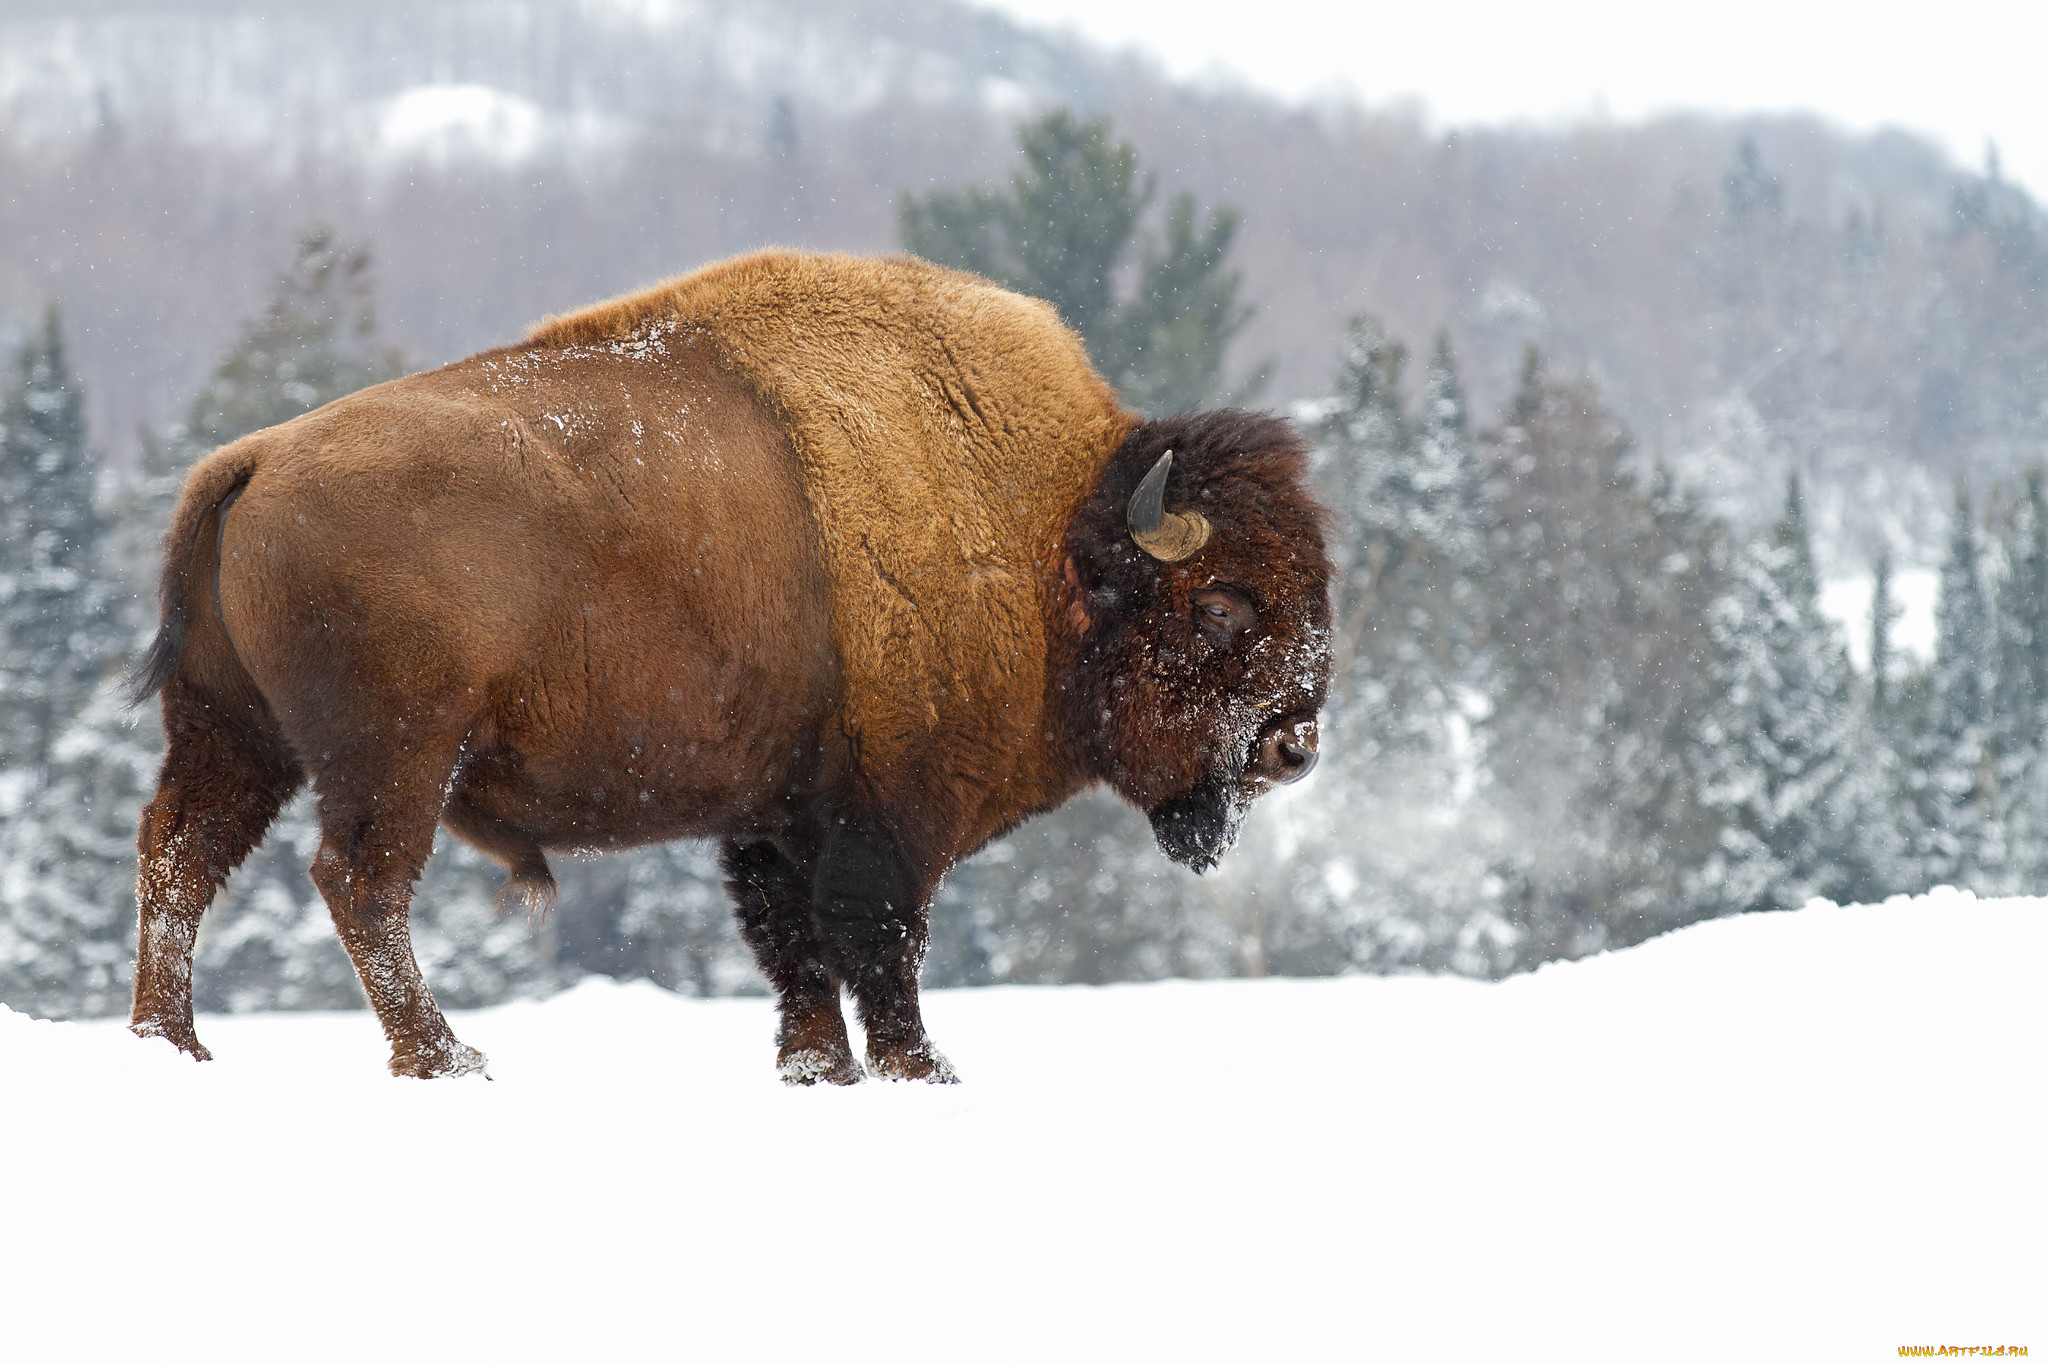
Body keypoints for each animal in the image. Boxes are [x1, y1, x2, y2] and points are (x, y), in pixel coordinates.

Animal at [123, 250, 1327, 1080]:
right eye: (1220, 604)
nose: (1295, 742)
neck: (1045, 533)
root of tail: (253, 459)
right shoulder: (887, 811)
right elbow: (877, 938)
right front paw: (919, 1067)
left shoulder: (776, 811)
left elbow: (791, 943)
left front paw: (818, 1067)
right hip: (393, 755)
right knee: (359, 882)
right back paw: (443, 1057)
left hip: (237, 737)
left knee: (181, 857)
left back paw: (171, 1044)